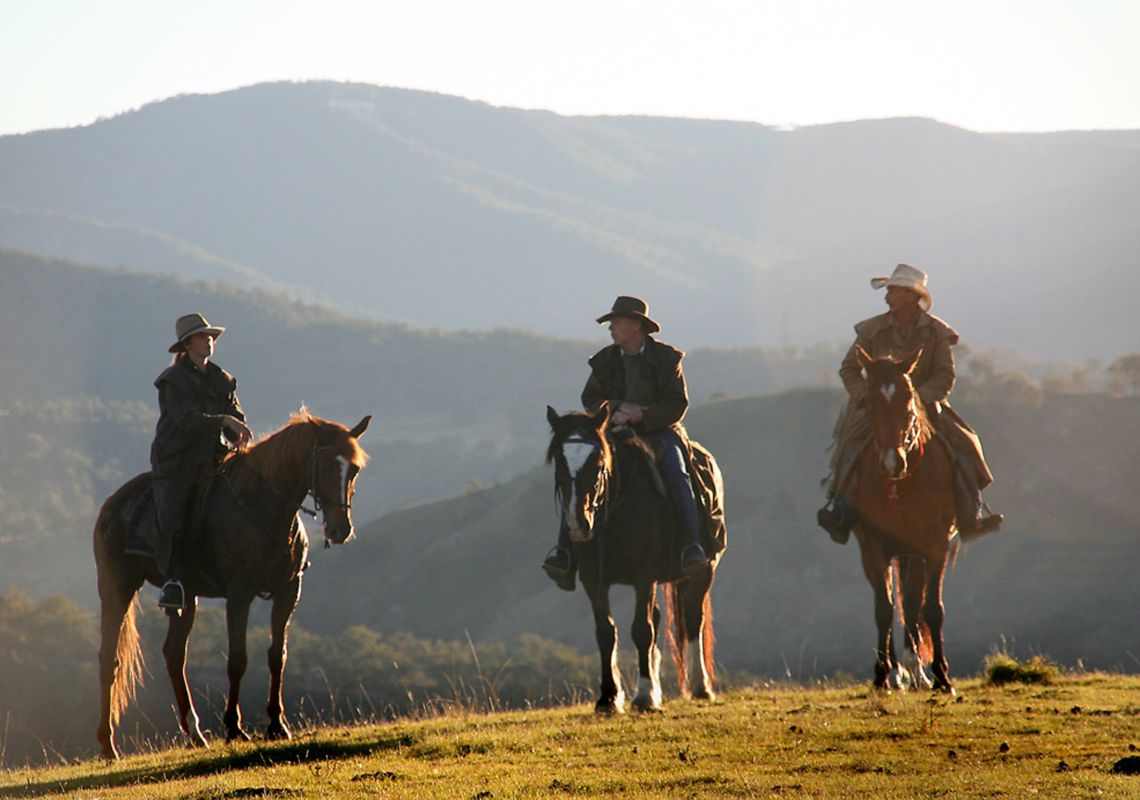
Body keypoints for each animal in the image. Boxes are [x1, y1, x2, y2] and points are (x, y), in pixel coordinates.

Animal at [94, 410, 369, 761]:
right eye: (322, 468)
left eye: (354, 469)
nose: (339, 530)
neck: (262, 507)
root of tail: (111, 505)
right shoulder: (239, 595)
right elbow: (238, 659)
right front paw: (234, 728)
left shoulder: (288, 593)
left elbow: (277, 655)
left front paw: (277, 725)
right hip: (117, 587)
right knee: (109, 658)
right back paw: (108, 744)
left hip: (186, 597)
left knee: (174, 654)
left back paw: (195, 732)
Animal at [544, 407, 720, 715]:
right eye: (559, 464)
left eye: (598, 461)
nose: (578, 524)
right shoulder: (593, 579)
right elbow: (606, 632)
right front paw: (608, 698)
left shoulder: (643, 576)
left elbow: (641, 630)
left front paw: (645, 696)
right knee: (659, 618)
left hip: (703, 570)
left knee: (692, 619)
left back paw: (700, 687)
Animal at [848, 346, 962, 697]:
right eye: (870, 402)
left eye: (908, 401)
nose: (891, 463)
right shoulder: (873, 547)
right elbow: (883, 608)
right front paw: (882, 675)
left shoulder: (935, 545)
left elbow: (932, 608)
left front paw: (942, 677)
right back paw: (900, 672)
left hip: (914, 552)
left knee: (913, 603)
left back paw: (917, 672)